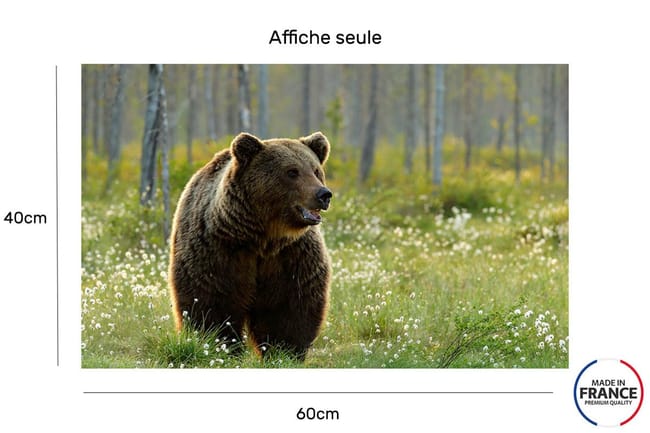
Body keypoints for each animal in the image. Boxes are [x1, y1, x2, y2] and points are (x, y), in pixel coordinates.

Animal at [168, 131, 333, 361]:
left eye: (316, 171)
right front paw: (223, 347)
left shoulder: (292, 256)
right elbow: (212, 303)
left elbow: (287, 308)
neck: (263, 239)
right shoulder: (218, 252)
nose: (323, 194)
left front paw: (284, 351)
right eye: (292, 172)